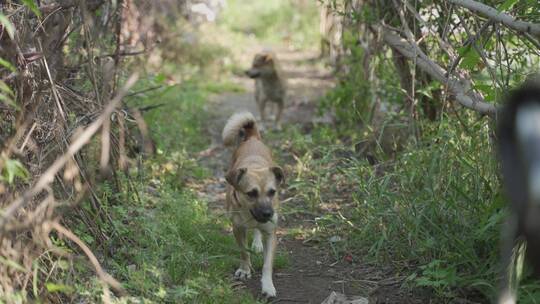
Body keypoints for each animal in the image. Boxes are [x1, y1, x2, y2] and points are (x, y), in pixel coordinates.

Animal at [221, 111, 284, 296]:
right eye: (251, 194)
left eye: (272, 192)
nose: (268, 213)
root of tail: (252, 138)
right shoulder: (237, 228)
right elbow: (243, 251)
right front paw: (245, 269)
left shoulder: (271, 233)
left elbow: (267, 264)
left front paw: (268, 286)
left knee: (257, 230)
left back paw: (257, 243)